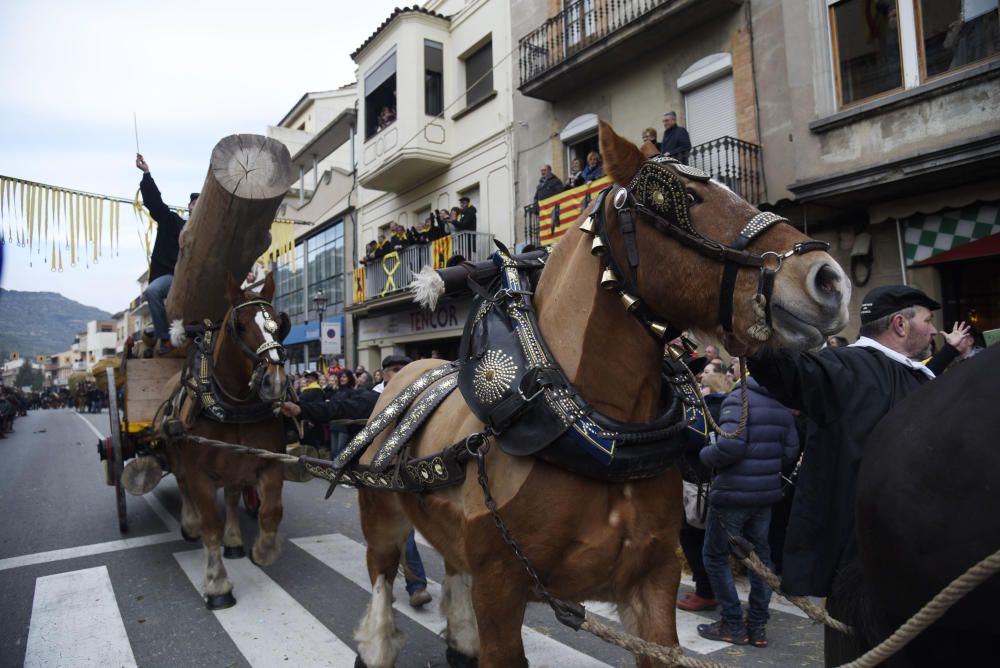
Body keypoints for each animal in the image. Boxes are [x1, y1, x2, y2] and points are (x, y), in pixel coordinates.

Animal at [164, 272, 290, 612]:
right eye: (241, 326)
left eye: (279, 324)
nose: (275, 382)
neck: (235, 406)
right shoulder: (199, 474)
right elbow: (211, 528)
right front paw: (217, 584)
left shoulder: (270, 461)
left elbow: (271, 512)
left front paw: (263, 551)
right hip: (179, 455)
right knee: (183, 485)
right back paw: (190, 523)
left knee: (233, 496)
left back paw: (234, 541)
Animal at [352, 121, 852, 668]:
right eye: (686, 198)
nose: (829, 280)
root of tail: (407, 371)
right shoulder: (499, 589)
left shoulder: (654, 583)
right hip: (382, 520)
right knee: (381, 582)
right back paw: (378, 644)